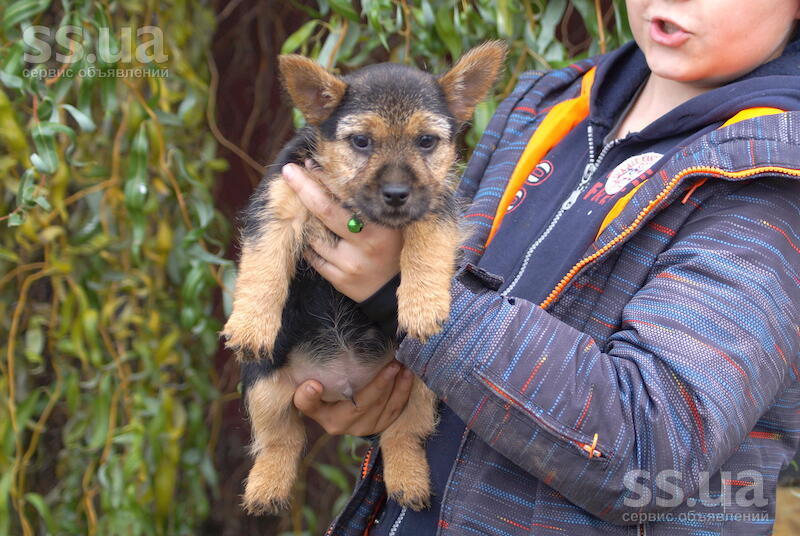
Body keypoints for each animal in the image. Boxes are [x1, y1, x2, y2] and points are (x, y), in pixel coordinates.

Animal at [222, 41, 506, 514]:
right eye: (361, 141)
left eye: (426, 141)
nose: (396, 195)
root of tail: (342, 382)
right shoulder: (278, 206)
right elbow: (263, 266)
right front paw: (250, 324)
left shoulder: (436, 205)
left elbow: (426, 245)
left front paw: (422, 306)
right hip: (264, 385)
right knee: (281, 439)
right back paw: (265, 488)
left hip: (419, 386)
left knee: (401, 435)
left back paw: (409, 481)